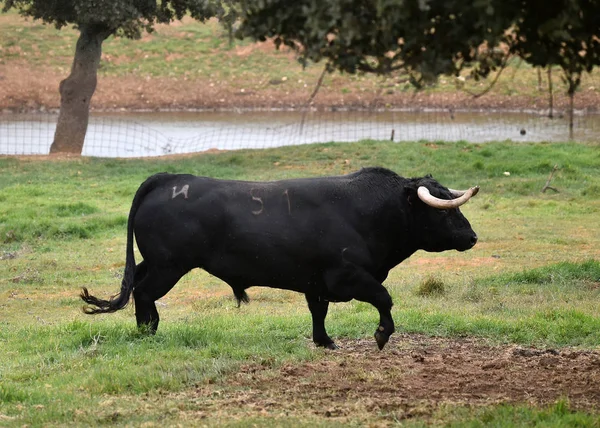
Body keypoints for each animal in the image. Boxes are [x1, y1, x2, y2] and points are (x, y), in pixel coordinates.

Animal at [82, 166, 480, 348]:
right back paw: (148, 331)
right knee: (144, 292)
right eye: (444, 211)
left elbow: (318, 312)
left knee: (137, 286)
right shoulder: (346, 275)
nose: (472, 236)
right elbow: (384, 298)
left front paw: (324, 341)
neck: (367, 211)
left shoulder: (316, 282)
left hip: (156, 263)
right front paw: (382, 335)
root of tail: (169, 178)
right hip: (169, 266)